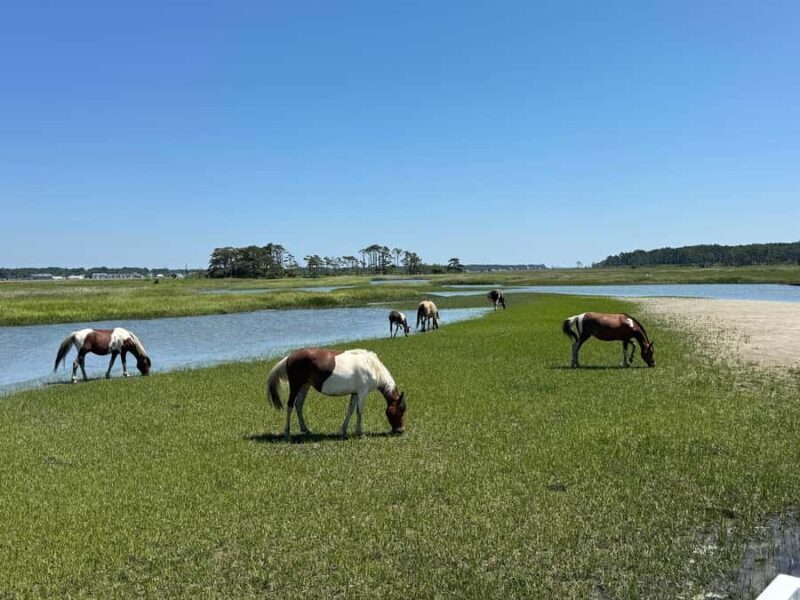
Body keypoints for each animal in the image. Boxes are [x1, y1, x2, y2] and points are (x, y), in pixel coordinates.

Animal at [266, 347, 406, 439]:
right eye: (399, 410)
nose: (400, 430)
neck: (371, 366)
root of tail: (290, 357)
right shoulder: (362, 392)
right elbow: (359, 412)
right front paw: (360, 432)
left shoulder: (355, 393)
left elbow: (350, 411)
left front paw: (343, 430)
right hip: (296, 385)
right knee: (290, 405)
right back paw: (287, 432)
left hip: (305, 386)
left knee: (298, 405)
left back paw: (305, 430)